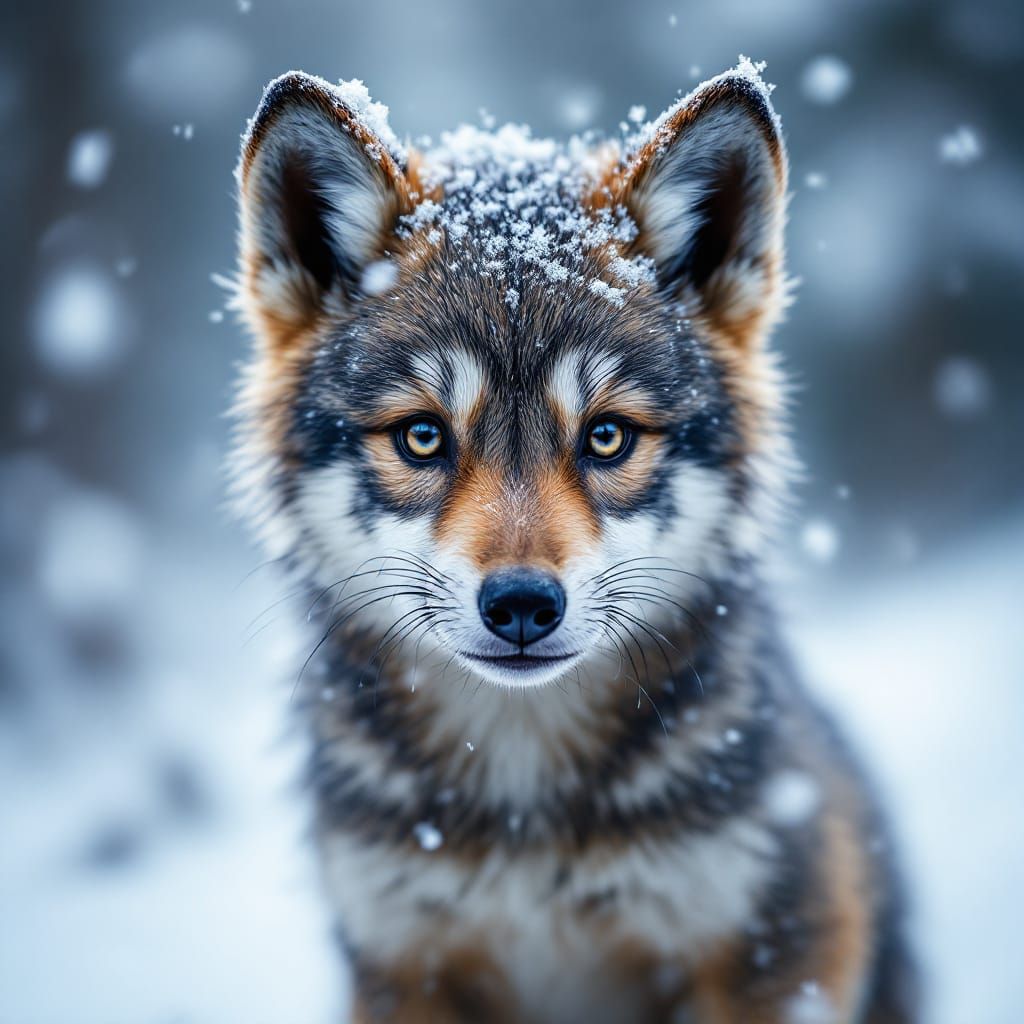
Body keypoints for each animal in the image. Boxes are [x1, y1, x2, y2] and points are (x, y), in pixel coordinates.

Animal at [230, 60, 917, 1023]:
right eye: (423, 437)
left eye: (607, 437)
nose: (522, 604)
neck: (526, 813)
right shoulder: (405, 967)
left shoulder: (778, 950)